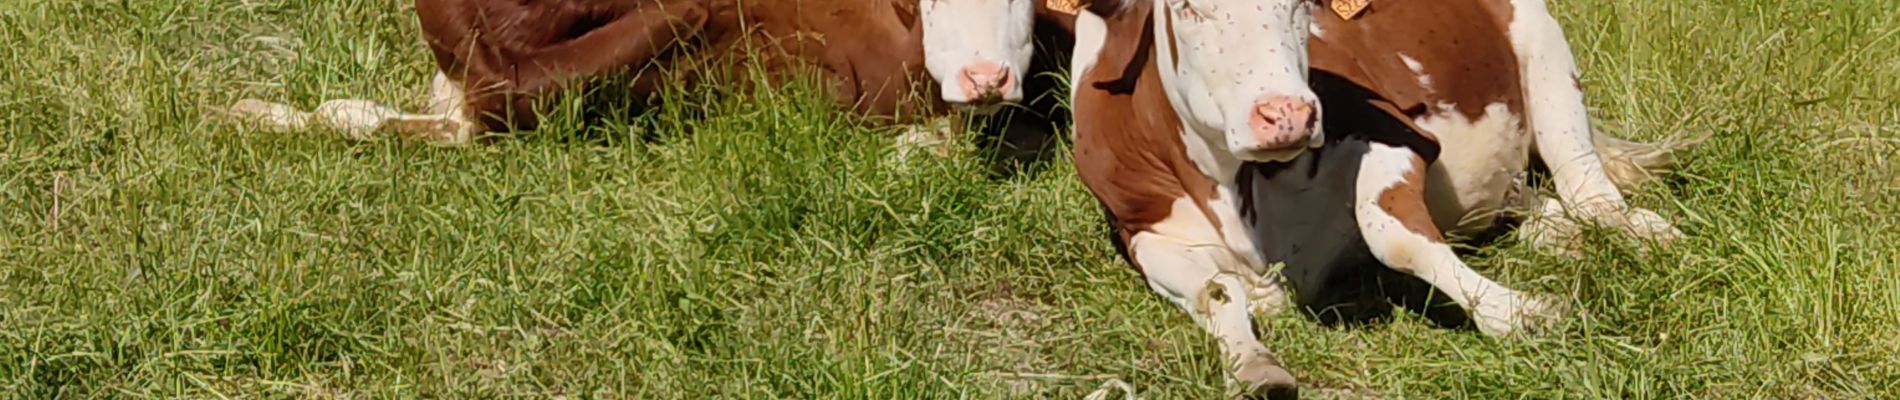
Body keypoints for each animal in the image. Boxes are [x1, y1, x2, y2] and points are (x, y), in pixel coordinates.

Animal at [919, 0, 1694, 396]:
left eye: (1296, 3)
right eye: (1188, 6)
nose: (1287, 114)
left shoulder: (1399, 140)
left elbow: (1393, 233)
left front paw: (1518, 313)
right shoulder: (1140, 229)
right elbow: (1216, 294)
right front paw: (1253, 363)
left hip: (1543, 45)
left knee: (1587, 185)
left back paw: (1636, 230)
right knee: (1528, 204)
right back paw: (1555, 236)